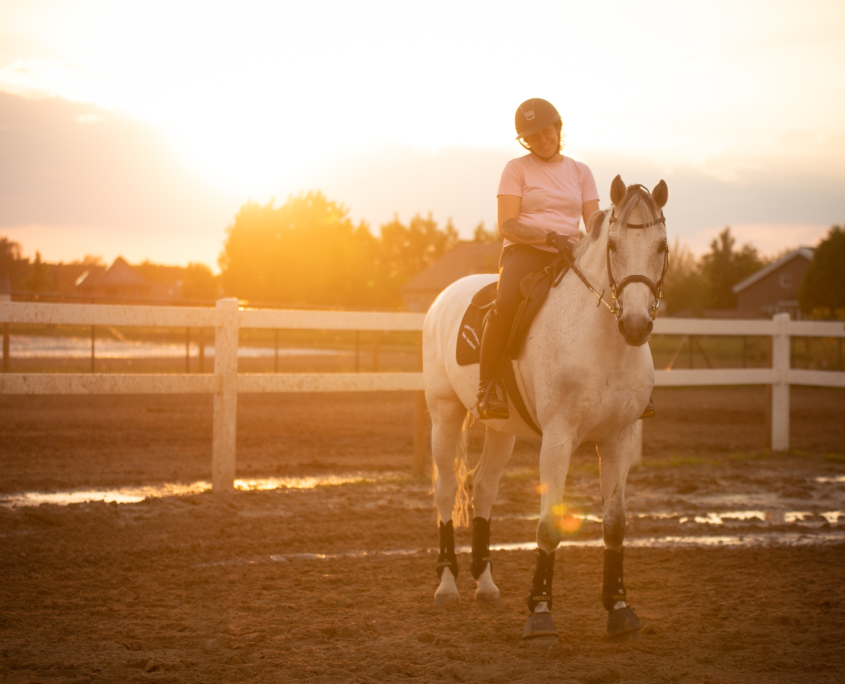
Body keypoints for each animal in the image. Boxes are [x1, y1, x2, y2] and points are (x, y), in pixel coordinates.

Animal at [420, 175, 664, 640]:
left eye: (661, 246)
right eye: (613, 245)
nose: (636, 325)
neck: (601, 340)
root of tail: (444, 297)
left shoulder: (618, 439)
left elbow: (615, 524)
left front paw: (619, 608)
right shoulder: (558, 439)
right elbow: (550, 524)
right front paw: (540, 612)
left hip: (501, 432)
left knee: (483, 490)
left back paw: (485, 583)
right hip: (444, 415)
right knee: (446, 491)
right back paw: (446, 586)